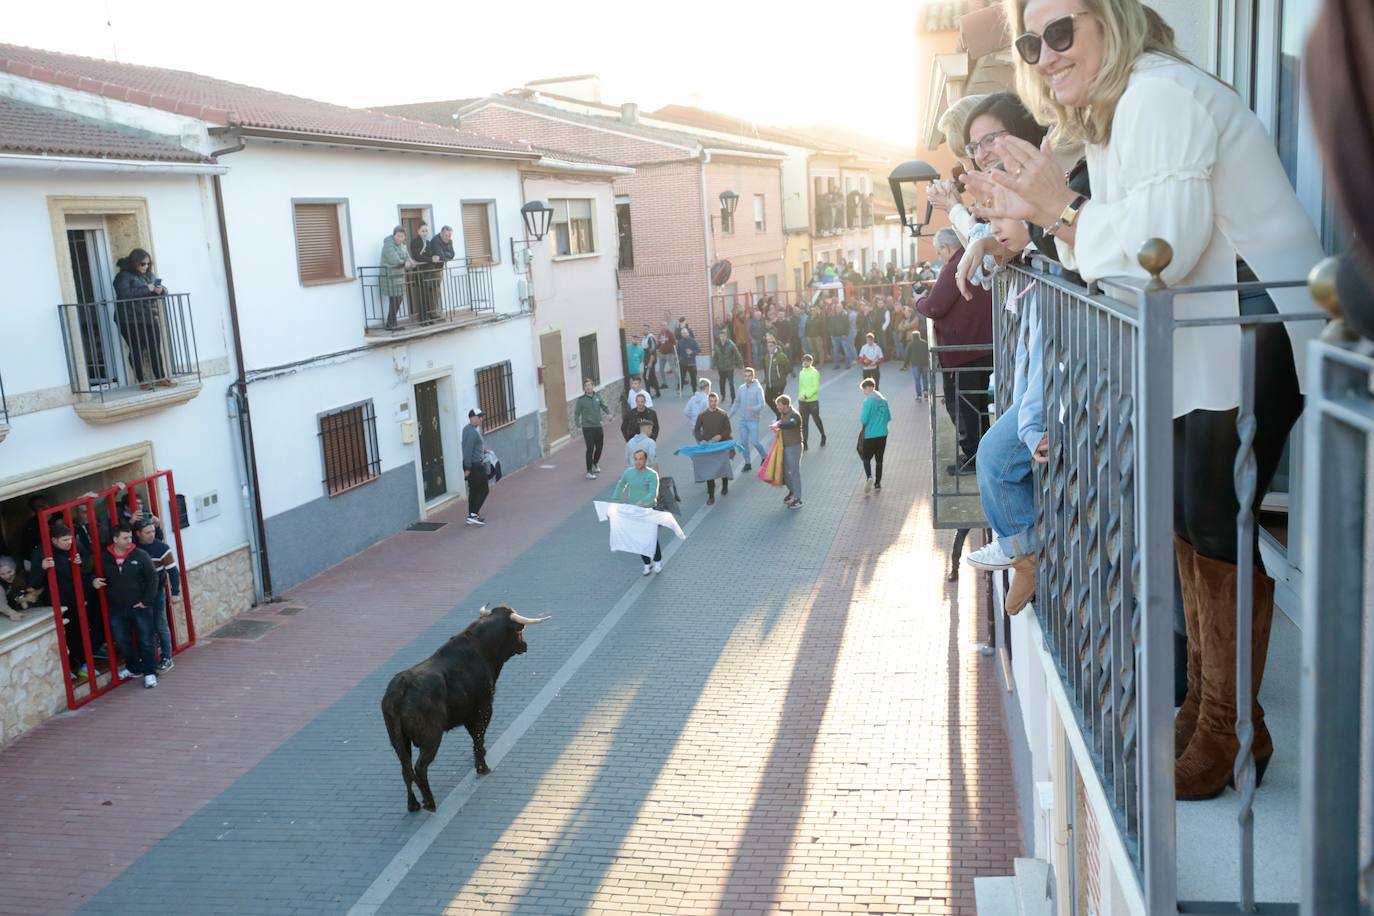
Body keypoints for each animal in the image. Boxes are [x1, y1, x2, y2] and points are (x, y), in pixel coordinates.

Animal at [379, 604, 549, 813]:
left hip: (399, 741)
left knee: (405, 768)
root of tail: (402, 685)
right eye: (519, 631)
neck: (481, 647)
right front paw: (482, 767)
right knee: (419, 768)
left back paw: (413, 805)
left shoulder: (468, 714)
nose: (525, 645)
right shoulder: (484, 708)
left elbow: (475, 737)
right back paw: (430, 802)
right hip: (431, 739)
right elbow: (478, 735)